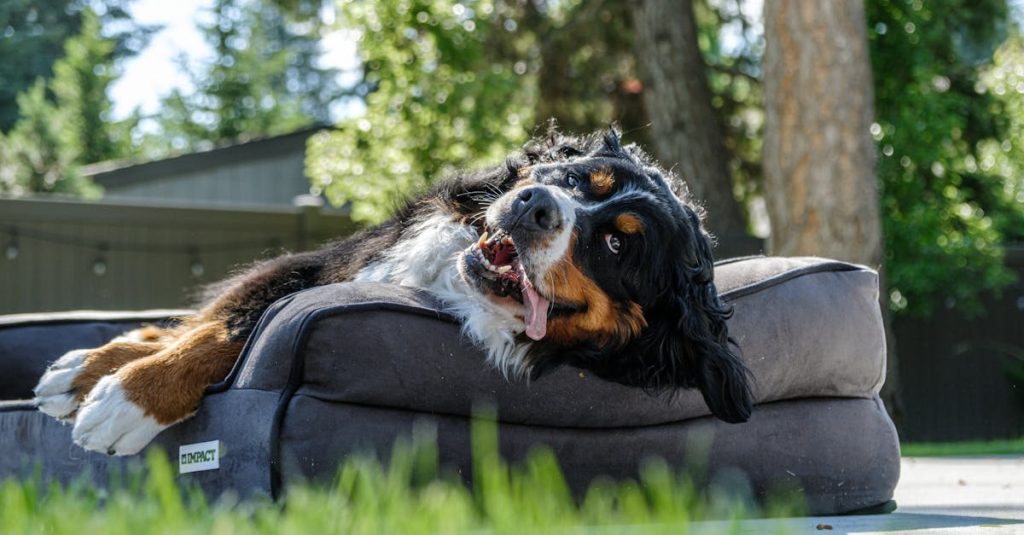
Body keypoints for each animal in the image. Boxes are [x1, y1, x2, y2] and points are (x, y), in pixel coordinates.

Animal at [32, 126, 753, 453]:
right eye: (576, 178)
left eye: (617, 245)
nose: (536, 203)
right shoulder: (330, 262)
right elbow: (222, 325)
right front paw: (118, 379)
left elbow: (233, 328)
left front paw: (126, 400)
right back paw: (82, 365)